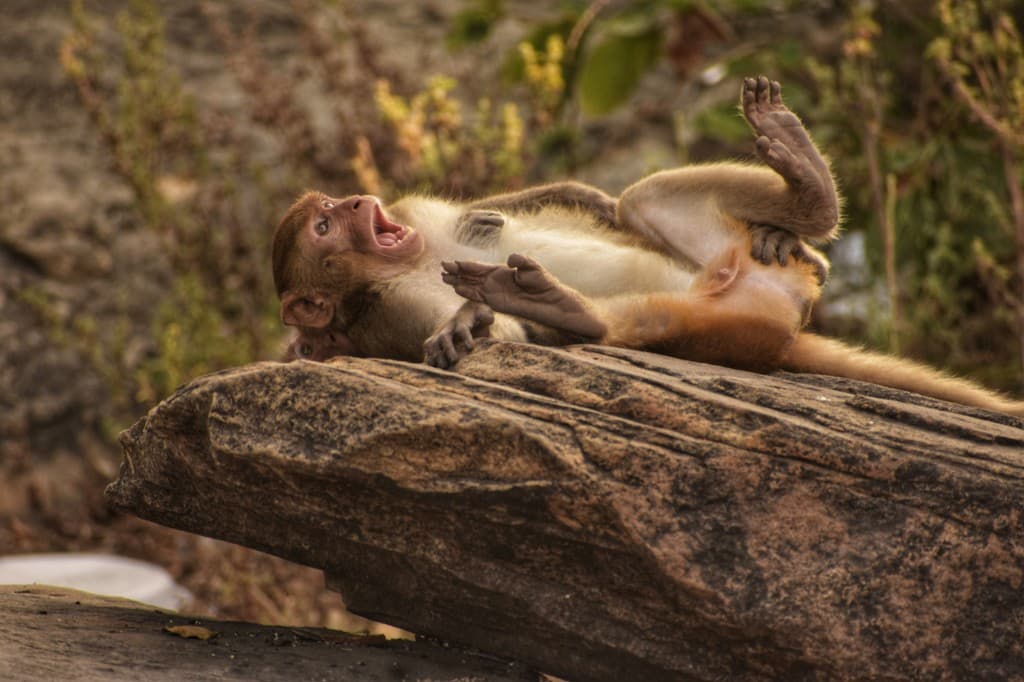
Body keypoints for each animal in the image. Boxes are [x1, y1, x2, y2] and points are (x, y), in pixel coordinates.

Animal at [272, 76, 1024, 416]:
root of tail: (785, 320)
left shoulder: (413, 213)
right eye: (322, 229)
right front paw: (467, 321)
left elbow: (527, 205)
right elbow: (491, 335)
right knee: (641, 324)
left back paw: (805, 192)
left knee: (647, 200)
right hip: (727, 328)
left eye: (330, 211)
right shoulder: (390, 303)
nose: (353, 204)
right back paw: (568, 310)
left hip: (732, 262)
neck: (406, 253)